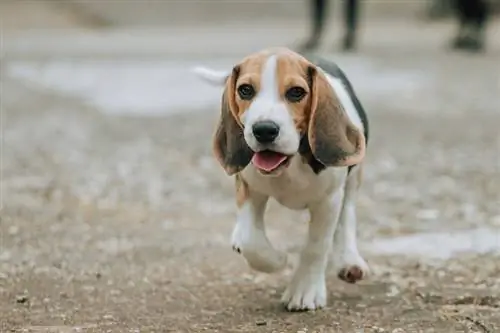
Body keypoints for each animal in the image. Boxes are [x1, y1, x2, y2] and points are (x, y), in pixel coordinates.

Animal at [193, 48, 370, 310]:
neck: (290, 162)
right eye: (245, 90)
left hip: (353, 174)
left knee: (348, 211)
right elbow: (251, 239)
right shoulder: (249, 187)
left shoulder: (329, 200)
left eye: (296, 92)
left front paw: (305, 290)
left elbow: (316, 245)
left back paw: (349, 260)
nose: (264, 130)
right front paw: (277, 260)